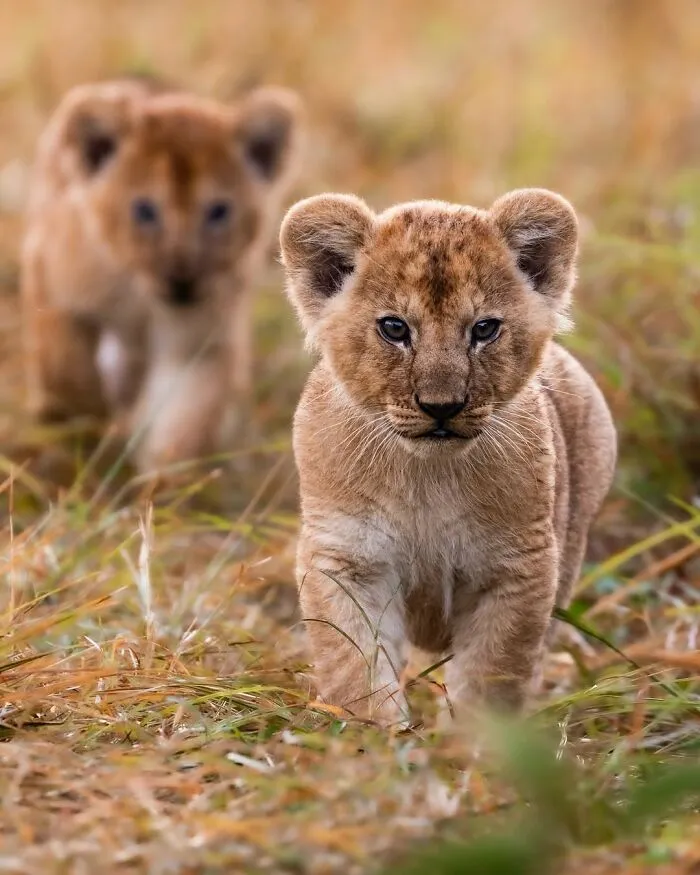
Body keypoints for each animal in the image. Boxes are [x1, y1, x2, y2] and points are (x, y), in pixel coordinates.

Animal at [21, 78, 302, 473]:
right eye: (144, 210)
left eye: (218, 211)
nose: (182, 282)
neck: (141, 296)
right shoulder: (50, 278)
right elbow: (65, 368)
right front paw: (82, 420)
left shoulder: (199, 342)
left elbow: (185, 422)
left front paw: (164, 481)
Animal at [280, 188, 617, 724]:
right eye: (394, 328)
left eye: (484, 329)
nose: (441, 407)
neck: (427, 475)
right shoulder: (346, 558)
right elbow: (355, 662)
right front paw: (372, 733)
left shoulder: (516, 568)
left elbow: (491, 671)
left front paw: (480, 739)